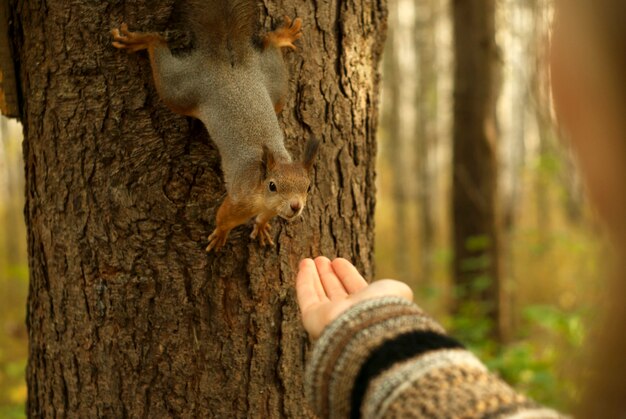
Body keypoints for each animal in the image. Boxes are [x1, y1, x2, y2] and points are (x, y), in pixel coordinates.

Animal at [109, 0, 316, 253]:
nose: (296, 206)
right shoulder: (240, 199)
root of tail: (228, 63)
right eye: (273, 186)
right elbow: (225, 216)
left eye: (308, 187)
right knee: (158, 50)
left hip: (275, 83)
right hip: (182, 91)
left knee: (270, 45)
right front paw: (221, 234)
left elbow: (265, 216)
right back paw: (142, 40)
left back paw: (281, 36)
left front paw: (261, 226)